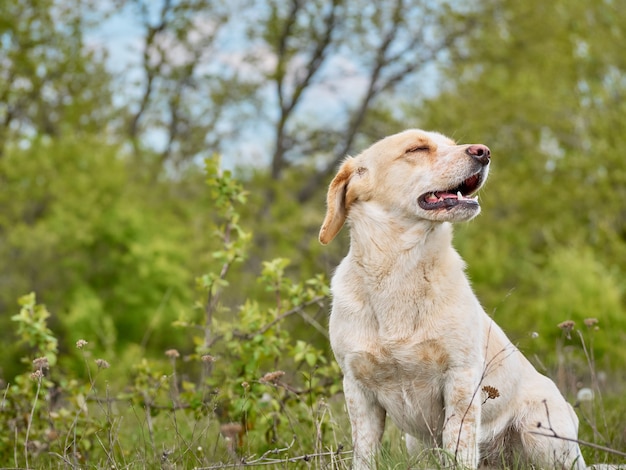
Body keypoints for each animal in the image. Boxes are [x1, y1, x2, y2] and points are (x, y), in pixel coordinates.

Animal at [320, 129, 584, 470]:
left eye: (450, 143)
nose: (484, 151)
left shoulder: (461, 380)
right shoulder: (357, 388)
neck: (399, 270)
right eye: (417, 148)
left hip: (541, 435)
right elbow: (364, 454)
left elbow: (459, 449)